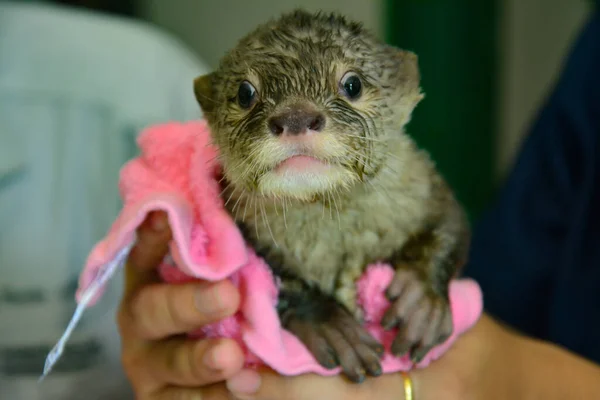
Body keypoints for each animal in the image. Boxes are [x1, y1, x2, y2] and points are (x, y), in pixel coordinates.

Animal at [192, 10, 468, 384]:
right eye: (245, 92)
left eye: (353, 84)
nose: (295, 116)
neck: (336, 239)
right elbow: (270, 274)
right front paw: (330, 324)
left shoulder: (424, 186)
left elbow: (451, 222)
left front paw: (420, 297)